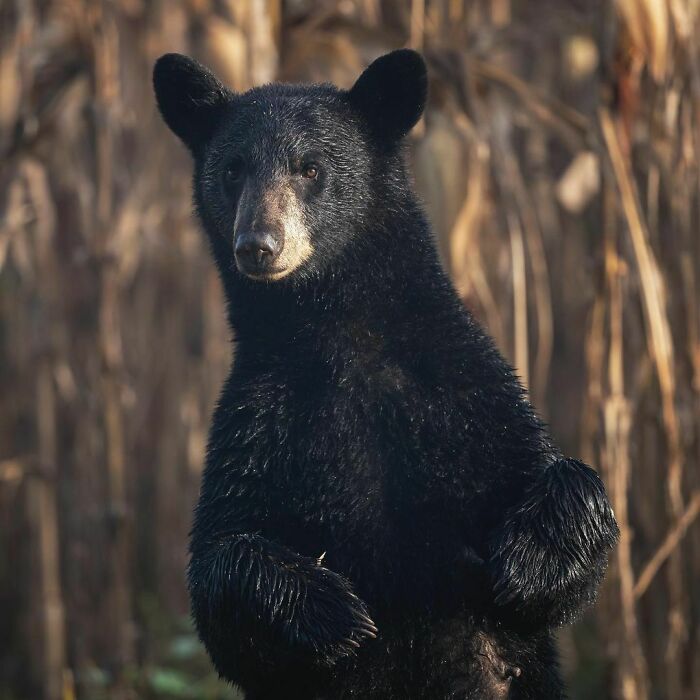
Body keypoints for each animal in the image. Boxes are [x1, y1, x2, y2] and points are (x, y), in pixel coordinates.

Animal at [152, 50, 616, 700]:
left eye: (311, 168)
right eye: (232, 171)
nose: (257, 245)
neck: (342, 334)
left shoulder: (467, 391)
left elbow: (560, 482)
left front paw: (529, 564)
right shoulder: (258, 421)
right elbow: (218, 572)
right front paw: (330, 611)